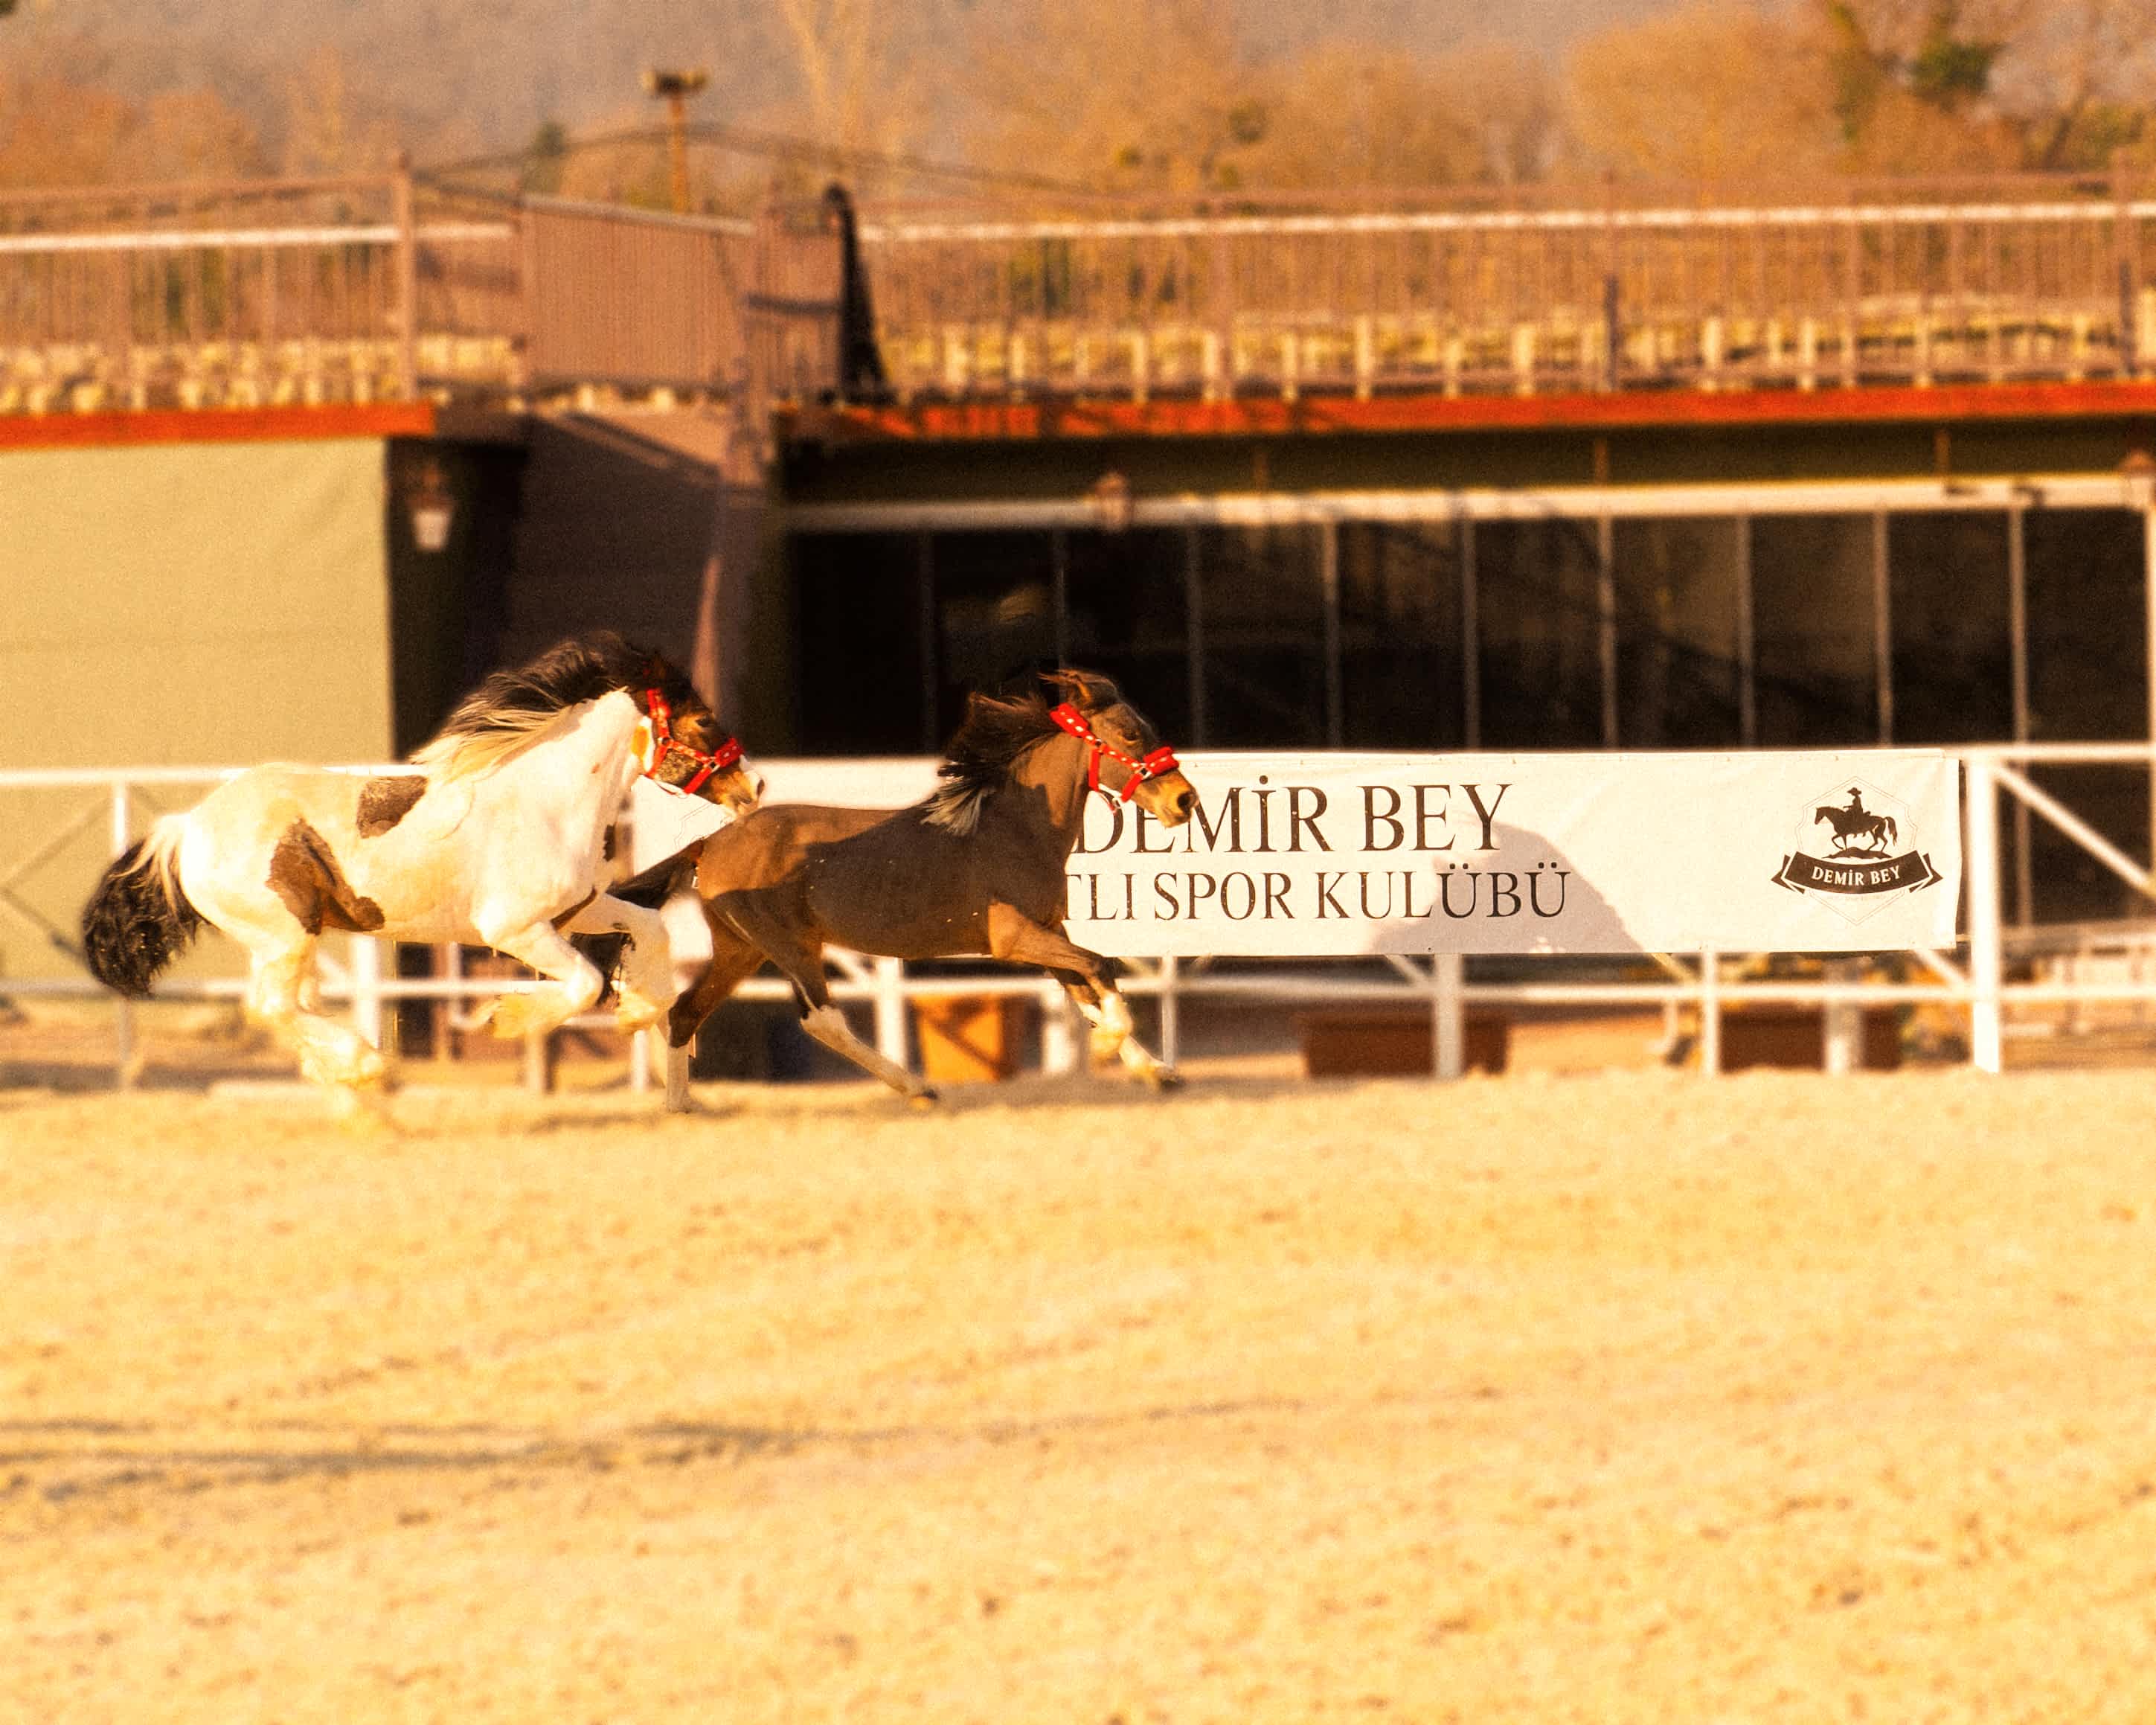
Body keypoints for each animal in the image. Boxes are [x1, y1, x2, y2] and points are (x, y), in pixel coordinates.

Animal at [81, 633, 762, 1115]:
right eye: (703, 721)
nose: (751, 787)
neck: (544, 799)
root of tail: (186, 828)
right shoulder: (514, 930)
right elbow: (584, 984)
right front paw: (506, 1019)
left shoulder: (581, 907)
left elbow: (651, 929)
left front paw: (639, 1009)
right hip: (285, 934)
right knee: (272, 1007)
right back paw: (367, 1070)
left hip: (291, 940)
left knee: (286, 1007)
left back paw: (355, 1097)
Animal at [663, 668, 1199, 1103]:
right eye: (1130, 733)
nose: (1185, 800)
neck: (1016, 827)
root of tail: (709, 844)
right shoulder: (1014, 939)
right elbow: (1101, 966)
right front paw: (1111, 1043)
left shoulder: (1050, 931)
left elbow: (1085, 988)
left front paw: (1155, 1071)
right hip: (790, 946)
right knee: (821, 1019)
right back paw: (918, 1088)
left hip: (742, 949)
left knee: (685, 1011)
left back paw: (682, 1106)